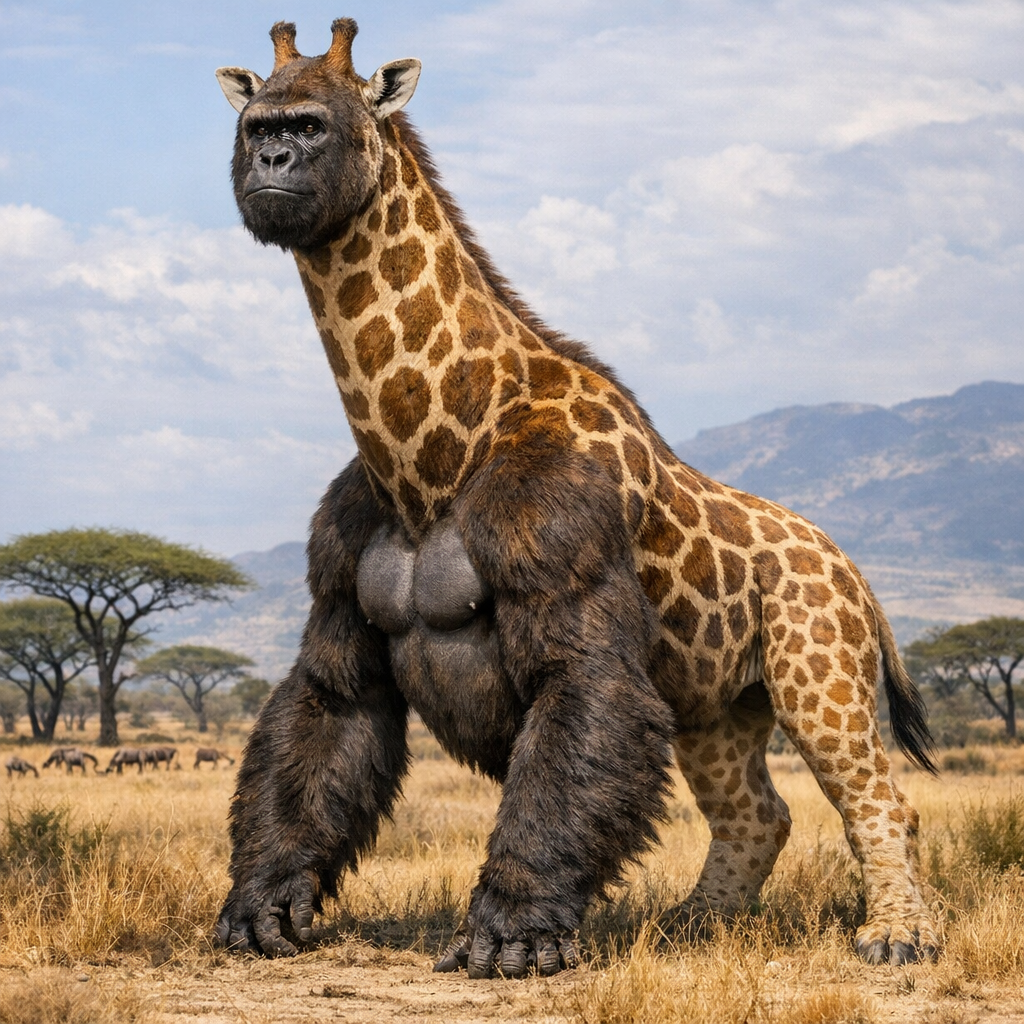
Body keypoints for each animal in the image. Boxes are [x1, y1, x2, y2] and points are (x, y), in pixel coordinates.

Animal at [212, 19, 940, 977]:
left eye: (313, 123)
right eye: (254, 123)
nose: (273, 166)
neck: (426, 459)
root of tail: (857, 576)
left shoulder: (570, 590)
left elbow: (563, 770)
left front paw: (510, 937)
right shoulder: (339, 611)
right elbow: (319, 728)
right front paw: (262, 910)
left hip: (821, 671)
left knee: (882, 800)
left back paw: (897, 936)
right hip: (716, 708)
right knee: (757, 813)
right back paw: (690, 926)